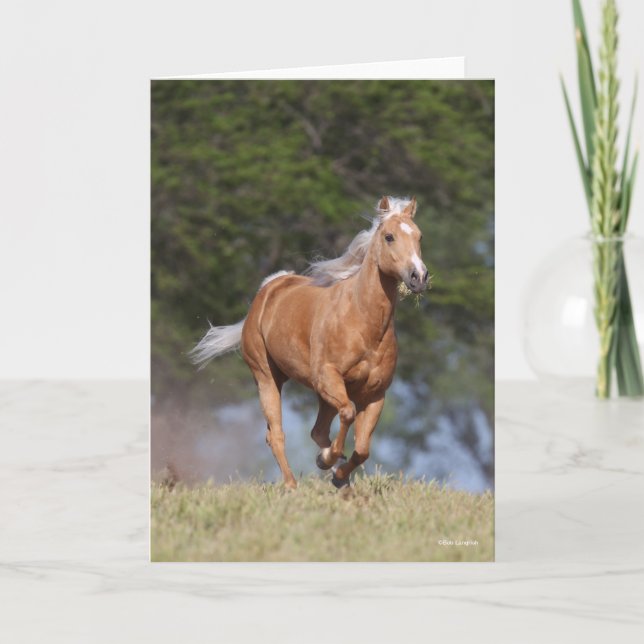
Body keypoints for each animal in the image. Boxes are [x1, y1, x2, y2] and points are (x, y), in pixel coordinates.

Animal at [190, 195, 429, 489]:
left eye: (419, 236)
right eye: (389, 236)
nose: (419, 277)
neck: (364, 323)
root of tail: (269, 288)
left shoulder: (375, 394)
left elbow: (362, 449)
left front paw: (338, 475)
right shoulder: (328, 377)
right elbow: (347, 414)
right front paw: (327, 460)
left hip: (320, 393)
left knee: (316, 431)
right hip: (266, 378)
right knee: (277, 434)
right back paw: (292, 484)